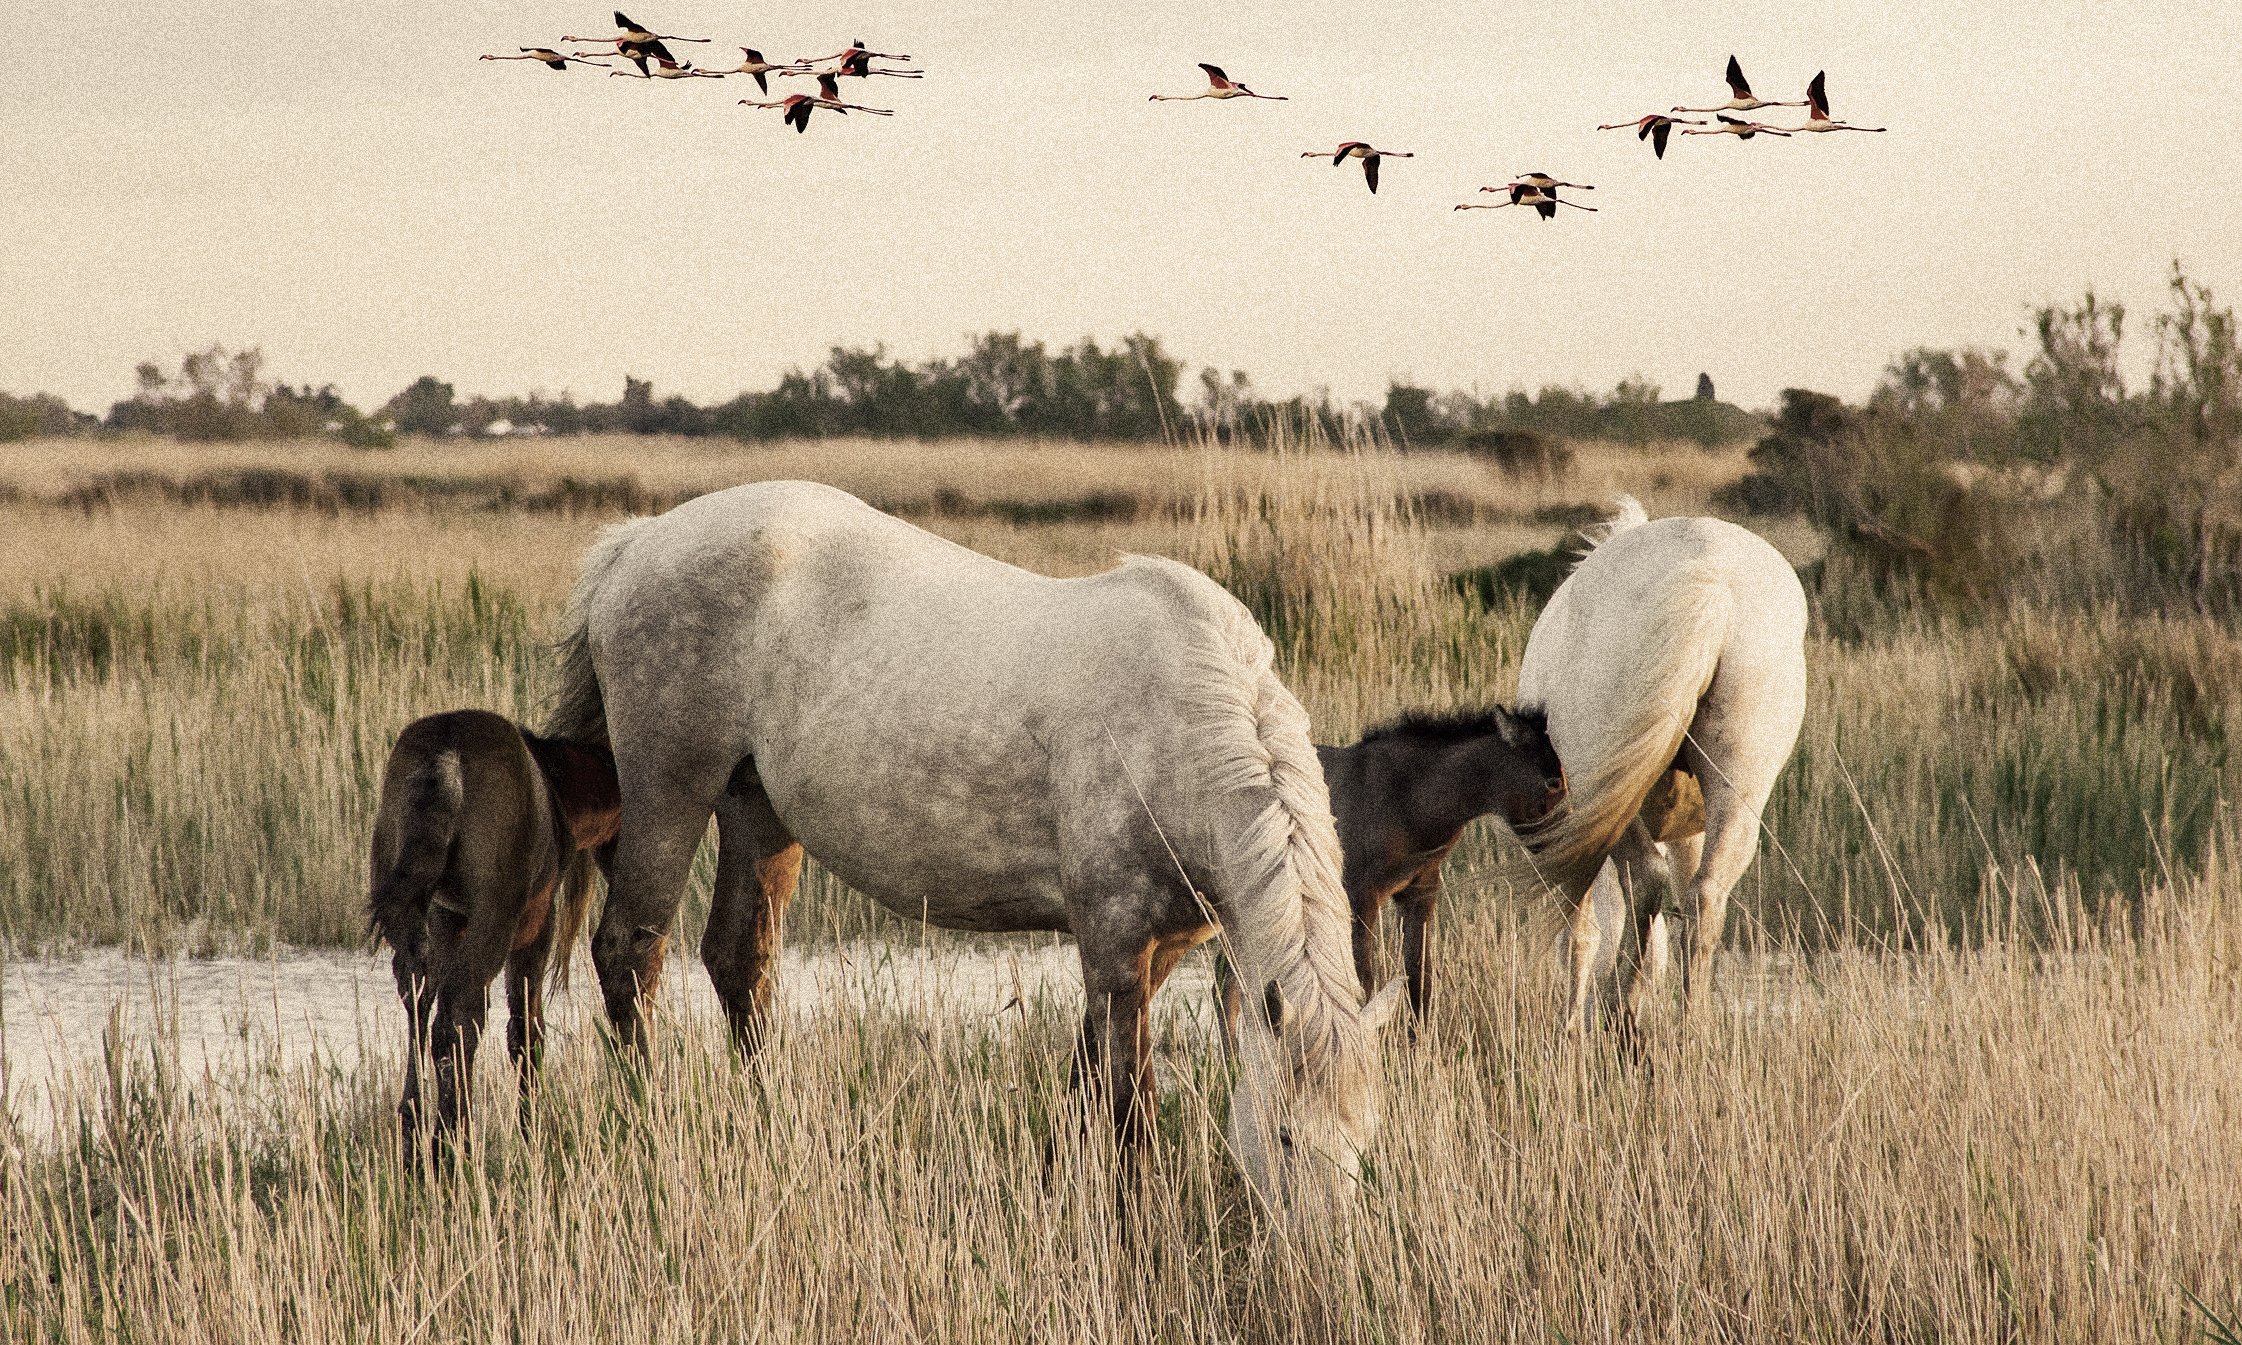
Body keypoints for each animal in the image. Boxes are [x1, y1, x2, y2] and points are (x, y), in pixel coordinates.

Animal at [366, 709, 620, 1152]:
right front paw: (530, 1130)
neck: (558, 788)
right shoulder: (536, 921)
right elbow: (526, 1027)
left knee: (420, 1001)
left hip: (409, 909)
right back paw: (453, 1141)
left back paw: (415, 1129)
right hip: (496, 916)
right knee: (459, 1016)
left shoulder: (448, 918)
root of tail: (445, 756)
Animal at [545, 479, 1402, 1219]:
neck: (1184, 723)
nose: (1323, 1261)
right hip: (669, 790)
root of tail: (637, 541)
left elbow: (1088, 1073)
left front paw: (1056, 1189)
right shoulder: (1116, 937)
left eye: (1365, 1141)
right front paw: (1138, 1218)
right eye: (1285, 1135)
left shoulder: (1155, 949)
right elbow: (1128, 1097)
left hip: (757, 811)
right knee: (631, 953)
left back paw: (771, 1125)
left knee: (738, 960)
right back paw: (649, 1125)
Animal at [1513, 499, 1808, 1033]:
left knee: (1644, 882)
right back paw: (1692, 1027)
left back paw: (1620, 1012)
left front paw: (1570, 1026)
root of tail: (1713, 584)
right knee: (1704, 897)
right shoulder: (1689, 830)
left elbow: (1581, 933)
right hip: (1738, 790)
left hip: (1606, 795)